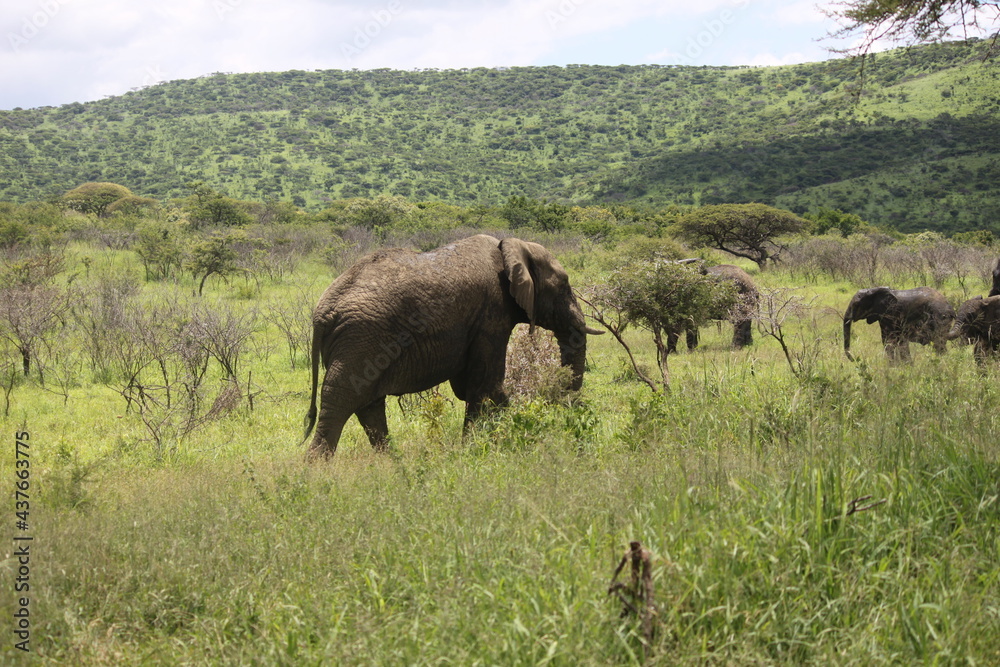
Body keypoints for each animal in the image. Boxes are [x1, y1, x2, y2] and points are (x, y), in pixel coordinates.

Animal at [302, 234, 601, 457]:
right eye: (564, 285)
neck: (510, 246)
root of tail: (322, 313)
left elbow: (470, 387)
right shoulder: (491, 313)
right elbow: (485, 385)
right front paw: (474, 449)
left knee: (368, 406)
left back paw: (393, 464)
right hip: (361, 338)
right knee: (340, 401)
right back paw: (316, 470)